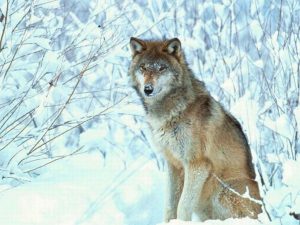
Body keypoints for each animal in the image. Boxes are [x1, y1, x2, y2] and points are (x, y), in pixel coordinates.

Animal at [127, 37, 262, 221]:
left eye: (162, 68)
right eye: (144, 67)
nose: (148, 89)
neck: (171, 111)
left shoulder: (197, 164)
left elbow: (182, 206)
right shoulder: (173, 165)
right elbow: (170, 206)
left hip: (223, 190)